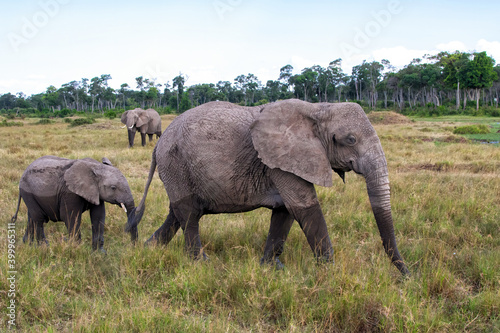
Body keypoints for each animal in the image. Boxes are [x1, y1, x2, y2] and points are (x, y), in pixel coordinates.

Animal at [126, 99, 410, 274]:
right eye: (350, 140)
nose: (407, 276)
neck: (318, 109)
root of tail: (157, 146)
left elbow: (285, 211)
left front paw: (271, 268)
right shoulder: (281, 159)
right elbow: (304, 206)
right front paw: (330, 272)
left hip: (176, 169)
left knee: (177, 213)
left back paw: (148, 250)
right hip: (175, 164)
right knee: (189, 214)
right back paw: (201, 262)